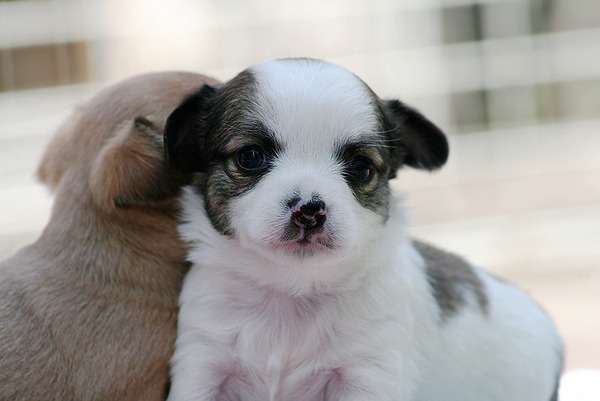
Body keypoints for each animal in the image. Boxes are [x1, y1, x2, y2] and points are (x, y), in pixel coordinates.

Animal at [163, 58, 563, 401]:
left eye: (361, 168)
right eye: (250, 157)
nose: (309, 209)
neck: (292, 292)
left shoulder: (370, 371)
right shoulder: (203, 363)